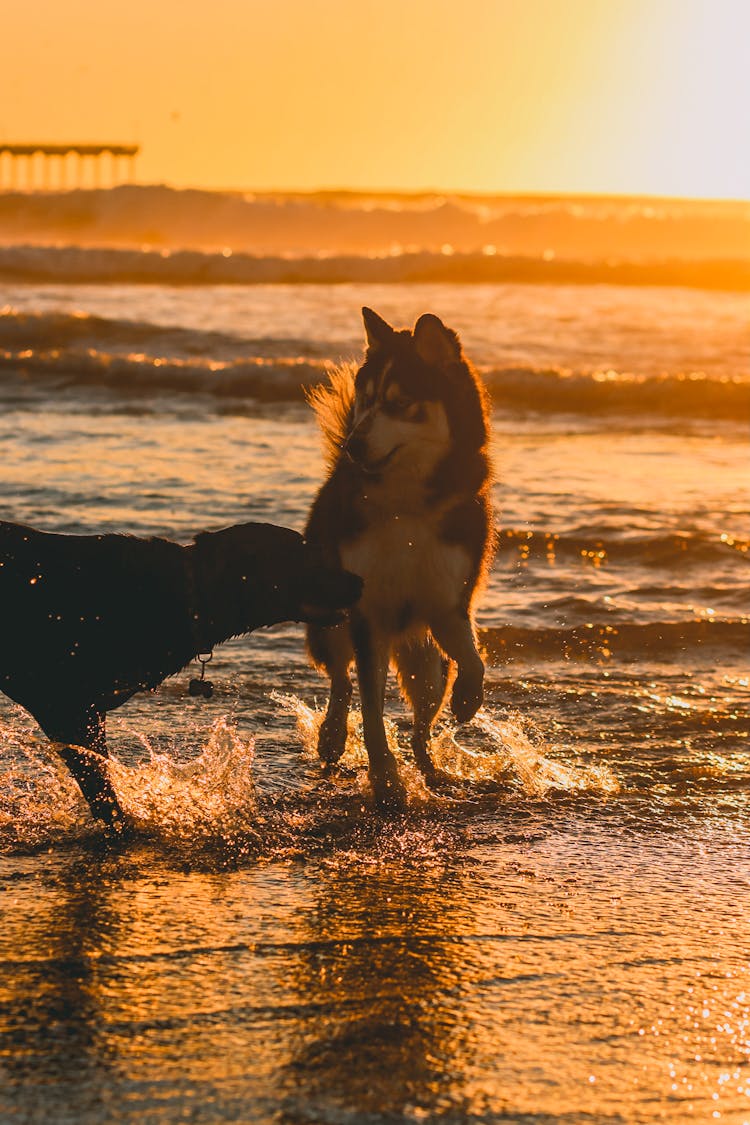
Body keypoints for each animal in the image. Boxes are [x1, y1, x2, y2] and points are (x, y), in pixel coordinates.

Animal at [305, 303, 492, 805]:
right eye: (366, 400)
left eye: (399, 402)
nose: (352, 444)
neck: (406, 506)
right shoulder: (367, 614)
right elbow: (371, 710)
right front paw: (386, 780)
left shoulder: (448, 603)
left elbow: (473, 659)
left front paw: (469, 698)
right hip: (330, 618)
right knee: (342, 680)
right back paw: (332, 735)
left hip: (424, 664)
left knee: (422, 724)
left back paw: (432, 770)